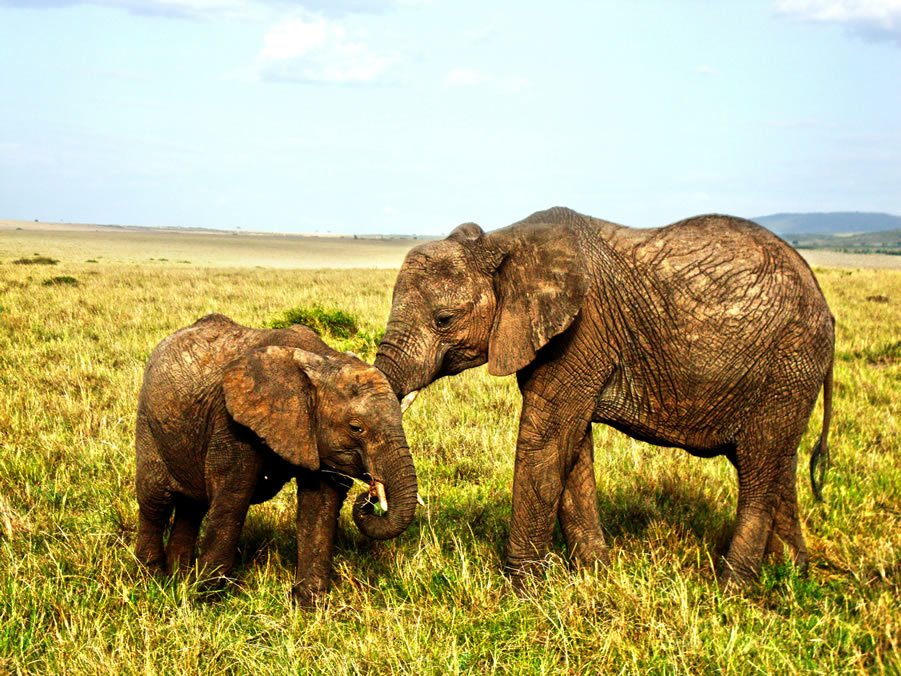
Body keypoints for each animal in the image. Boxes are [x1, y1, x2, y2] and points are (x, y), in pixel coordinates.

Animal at [135, 313, 418, 605]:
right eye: (356, 428)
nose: (370, 496)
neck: (323, 360)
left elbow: (320, 504)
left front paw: (308, 605)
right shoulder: (233, 420)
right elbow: (233, 497)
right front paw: (204, 597)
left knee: (192, 506)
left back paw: (177, 577)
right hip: (148, 423)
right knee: (155, 500)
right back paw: (151, 580)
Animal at [375, 207, 834, 587]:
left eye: (443, 319)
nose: (368, 504)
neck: (501, 242)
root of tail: (824, 304)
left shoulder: (582, 330)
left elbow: (546, 441)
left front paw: (523, 592)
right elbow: (573, 448)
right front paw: (594, 573)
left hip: (789, 363)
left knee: (759, 469)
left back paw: (732, 588)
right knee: (777, 466)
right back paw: (791, 573)